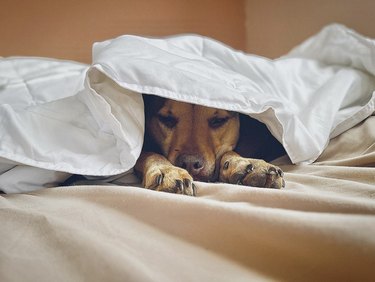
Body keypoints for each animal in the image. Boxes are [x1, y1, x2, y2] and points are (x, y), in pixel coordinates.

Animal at [135, 94, 284, 196]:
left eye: (218, 120)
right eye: (167, 119)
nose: (190, 163)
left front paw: (248, 163)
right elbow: (148, 153)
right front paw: (168, 170)